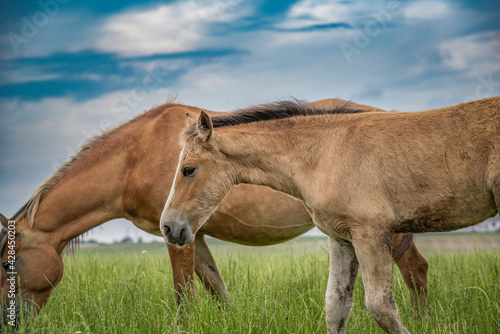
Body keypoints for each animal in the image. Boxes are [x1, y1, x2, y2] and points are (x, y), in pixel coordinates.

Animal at [0, 98, 430, 324]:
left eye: (8, 264)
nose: (12, 319)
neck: (136, 157)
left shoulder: (177, 237)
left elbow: (185, 294)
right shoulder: (191, 233)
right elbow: (216, 288)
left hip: (383, 234)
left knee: (416, 271)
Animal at [161, 96, 500, 334]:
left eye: (188, 169)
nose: (168, 227)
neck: (324, 153)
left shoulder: (371, 233)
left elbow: (380, 306)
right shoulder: (342, 238)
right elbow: (335, 306)